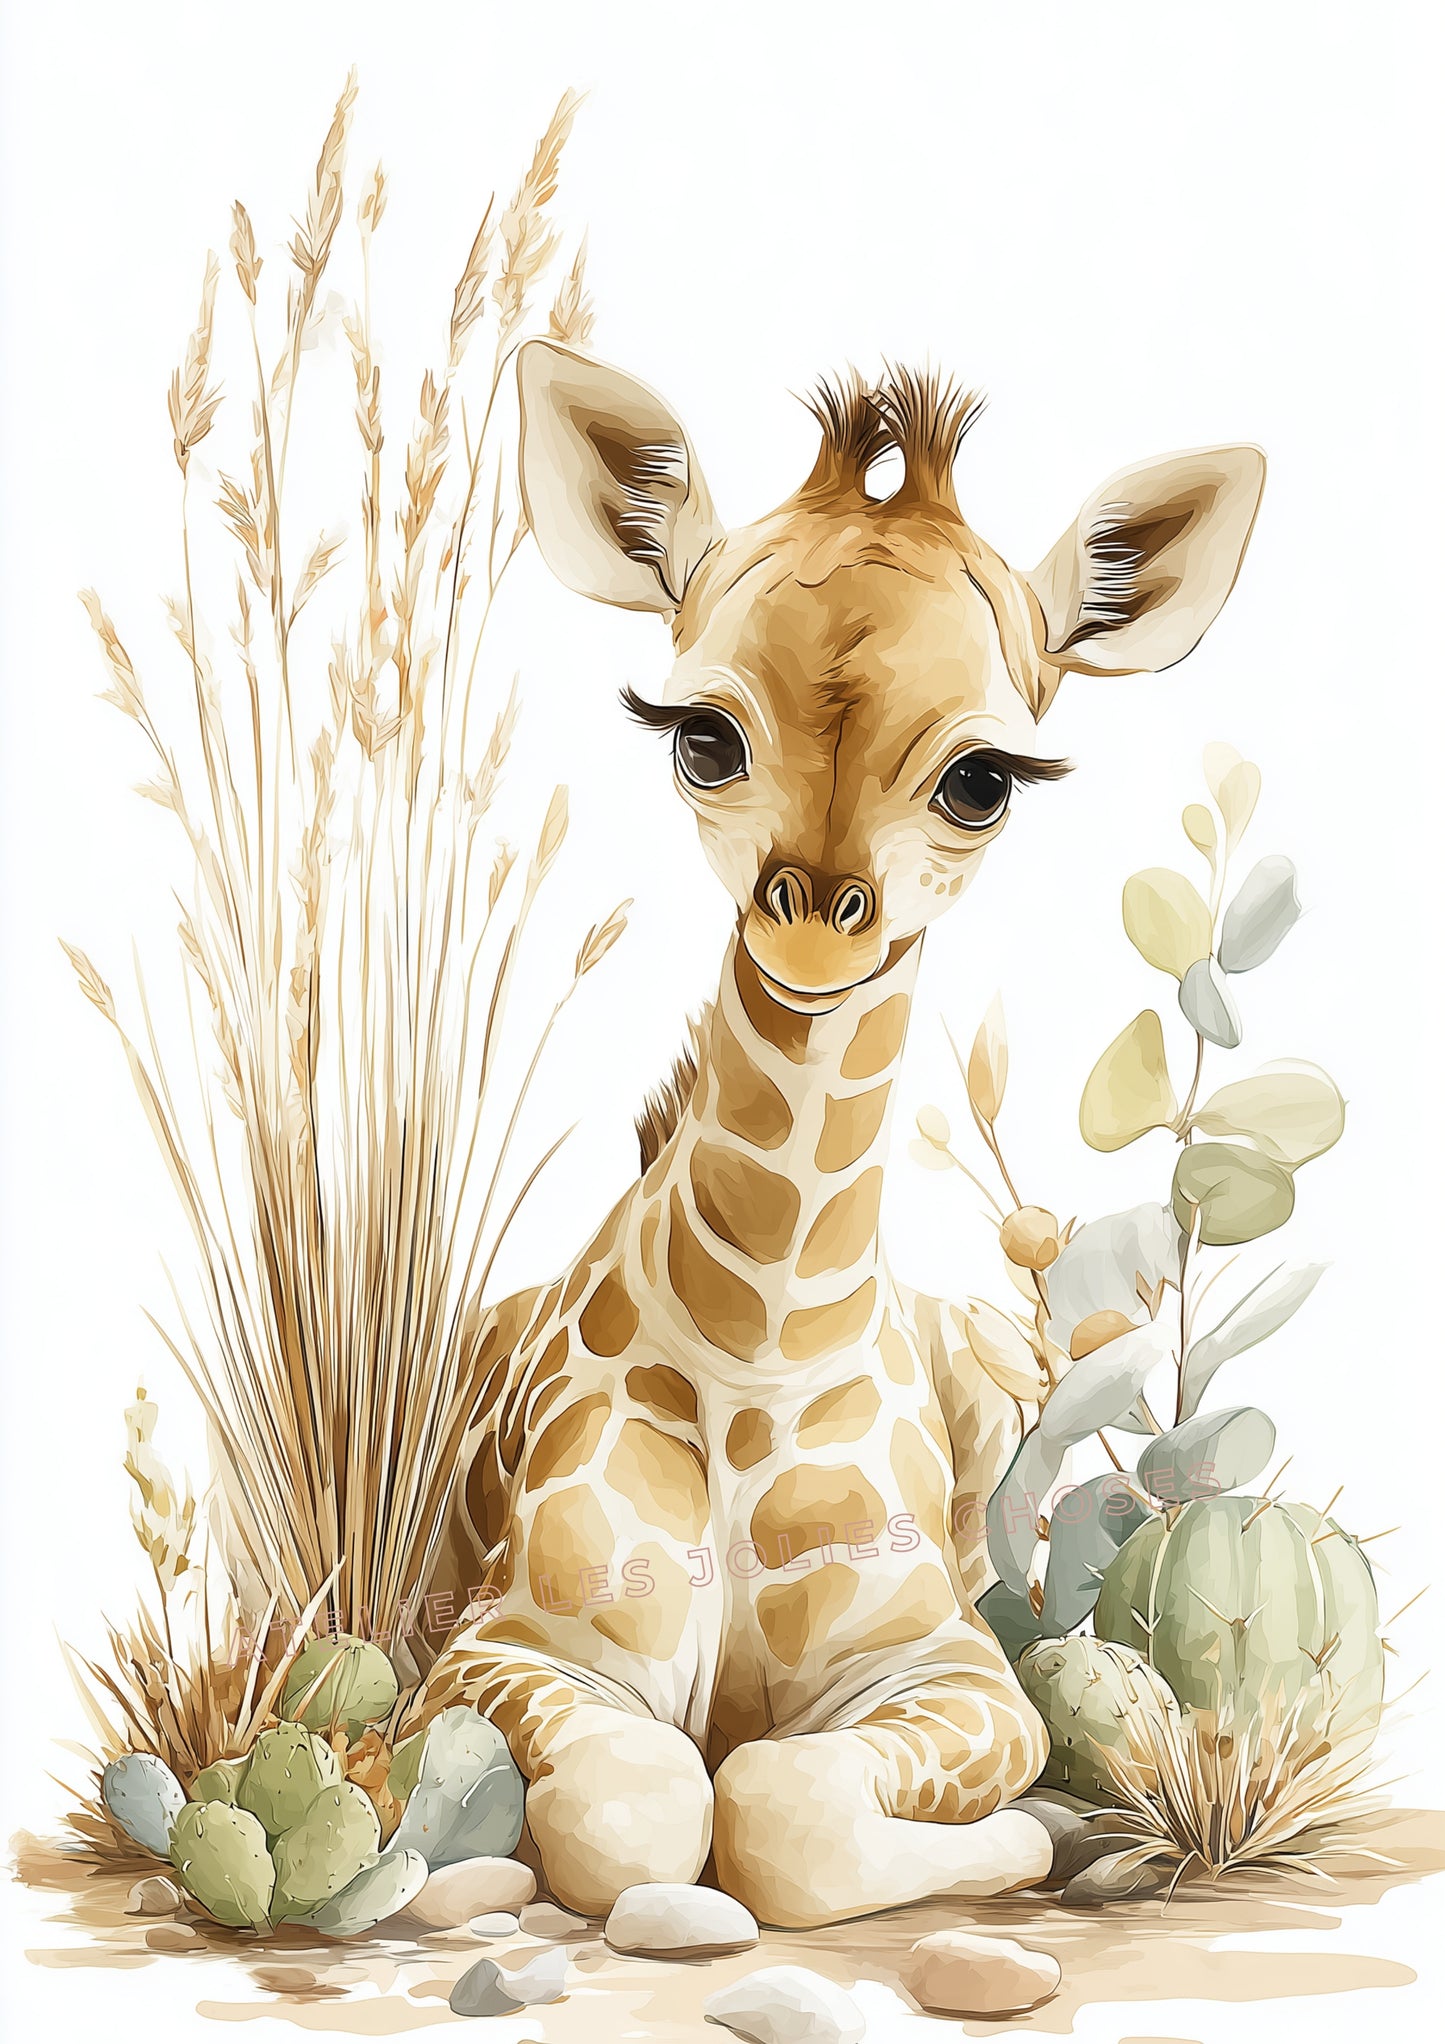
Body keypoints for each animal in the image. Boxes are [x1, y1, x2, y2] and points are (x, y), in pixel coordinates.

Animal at [411, 345, 1265, 1927]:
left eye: (981, 777)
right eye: (702, 735)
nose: (812, 920)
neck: (760, 1335)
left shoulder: (950, 1665)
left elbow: (778, 1802)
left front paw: (1042, 1842)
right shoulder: (516, 1643)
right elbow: (648, 1809)